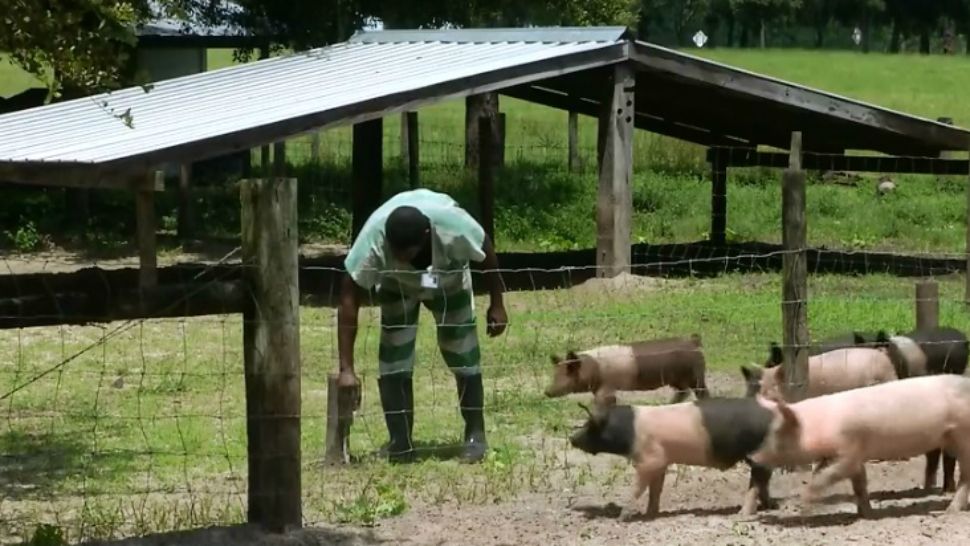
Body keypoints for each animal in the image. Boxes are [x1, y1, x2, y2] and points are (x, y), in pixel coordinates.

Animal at [545, 335, 708, 403]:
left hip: (696, 375)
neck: (593, 367)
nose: (547, 392)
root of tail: (694, 342)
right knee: (684, 392)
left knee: (701, 392)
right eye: (555, 374)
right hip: (676, 379)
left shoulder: (607, 386)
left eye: (568, 371)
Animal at [568, 393, 776, 520]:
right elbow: (655, 489)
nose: (572, 438)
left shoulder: (649, 460)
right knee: (763, 481)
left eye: (590, 426)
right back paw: (769, 506)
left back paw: (743, 514)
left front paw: (623, 517)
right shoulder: (661, 462)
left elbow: (638, 488)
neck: (630, 432)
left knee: (756, 483)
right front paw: (650, 514)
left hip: (758, 454)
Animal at [748, 374, 970, 518]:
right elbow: (859, 483)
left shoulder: (849, 450)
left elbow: (826, 477)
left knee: (966, 477)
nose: (751, 457)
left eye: (778, 434)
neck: (820, 425)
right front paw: (867, 514)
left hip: (963, 436)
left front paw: (802, 504)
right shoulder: (852, 455)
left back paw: (949, 512)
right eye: (768, 431)